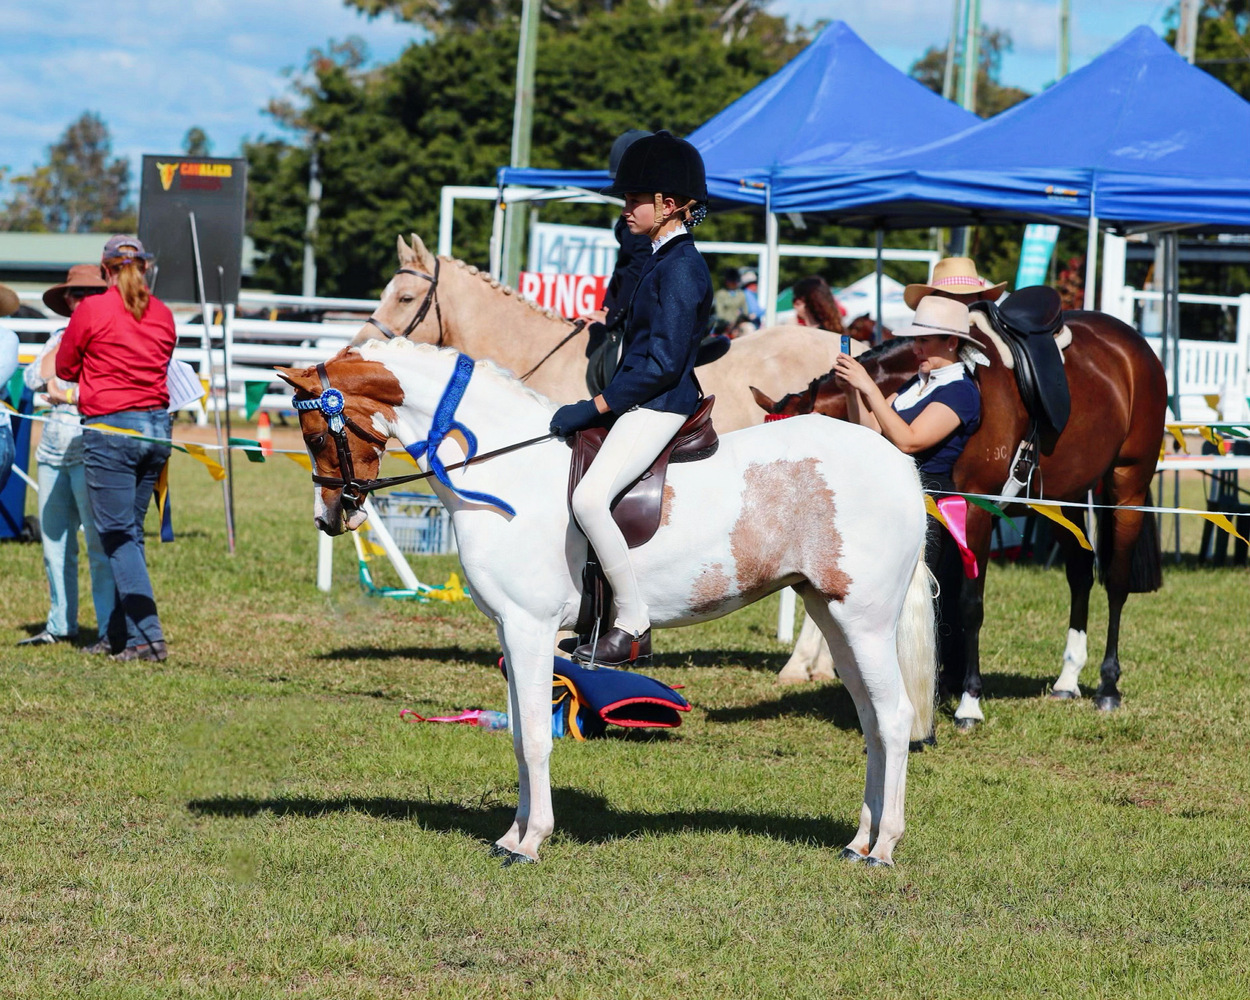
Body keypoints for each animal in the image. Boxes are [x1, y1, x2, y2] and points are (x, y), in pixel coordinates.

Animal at [277, 339, 937, 866]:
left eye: (315, 434)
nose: (330, 516)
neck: (506, 473)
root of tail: (898, 462)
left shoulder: (531, 628)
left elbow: (536, 738)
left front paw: (530, 842)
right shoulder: (510, 631)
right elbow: (518, 735)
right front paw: (510, 835)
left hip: (865, 621)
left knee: (894, 717)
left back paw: (883, 848)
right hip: (832, 615)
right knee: (871, 721)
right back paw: (858, 840)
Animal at [752, 313, 1167, 726]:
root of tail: (1134, 345)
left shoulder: (977, 511)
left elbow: (969, 603)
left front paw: (969, 700)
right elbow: (943, 599)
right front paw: (941, 684)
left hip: (1127, 488)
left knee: (1116, 581)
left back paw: (1108, 686)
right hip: (1063, 499)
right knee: (1080, 572)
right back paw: (1068, 679)